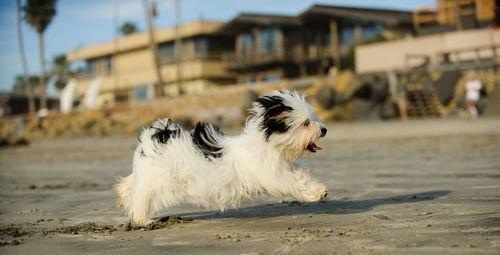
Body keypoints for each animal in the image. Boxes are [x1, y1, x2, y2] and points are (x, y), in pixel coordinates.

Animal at [115, 90, 330, 225]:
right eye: (306, 123)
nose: (324, 130)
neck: (267, 145)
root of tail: (156, 137)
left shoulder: (283, 165)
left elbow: (299, 174)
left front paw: (319, 189)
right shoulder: (273, 174)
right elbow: (293, 182)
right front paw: (316, 193)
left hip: (146, 172)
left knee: (131, 184)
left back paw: (123, 194)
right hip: (157, 180)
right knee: (141, 197)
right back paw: (143, 219)